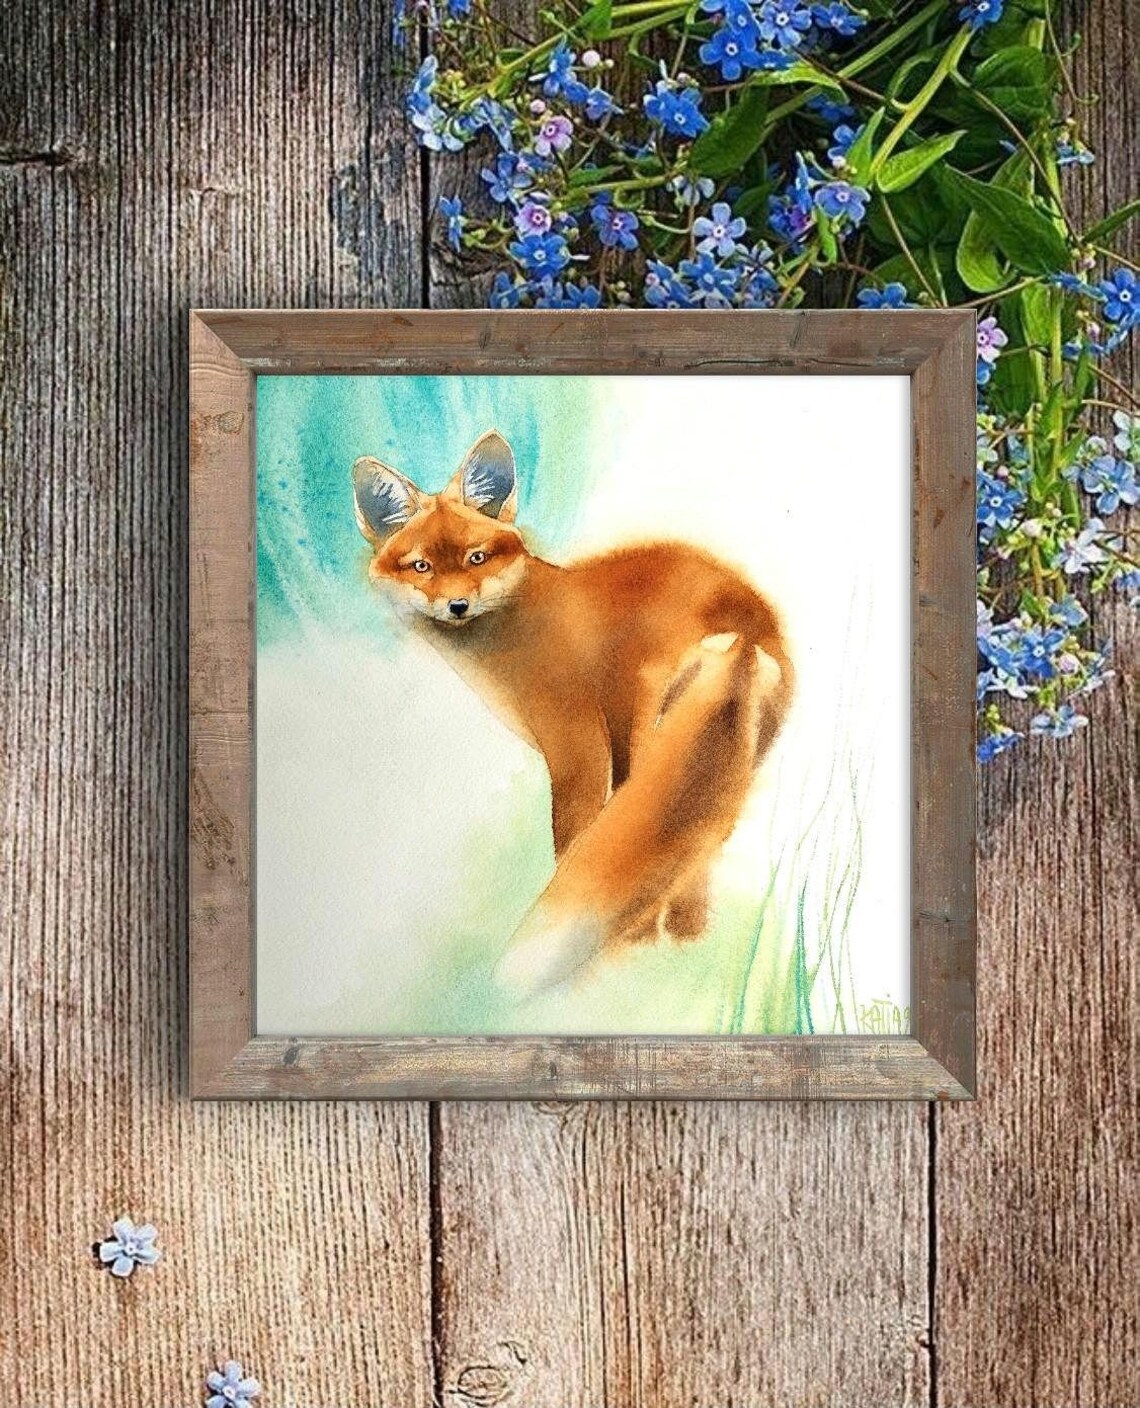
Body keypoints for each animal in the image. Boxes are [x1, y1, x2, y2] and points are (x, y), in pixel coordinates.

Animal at [352, 429, 794, 997]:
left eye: (476, 558)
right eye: (421, 566)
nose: (456, 606)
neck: (516, 626)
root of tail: (742, 633)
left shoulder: (577, 745)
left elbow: (572, 841)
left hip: (650, 740)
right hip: (725, 771)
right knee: (694, 861)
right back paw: (681, 951)